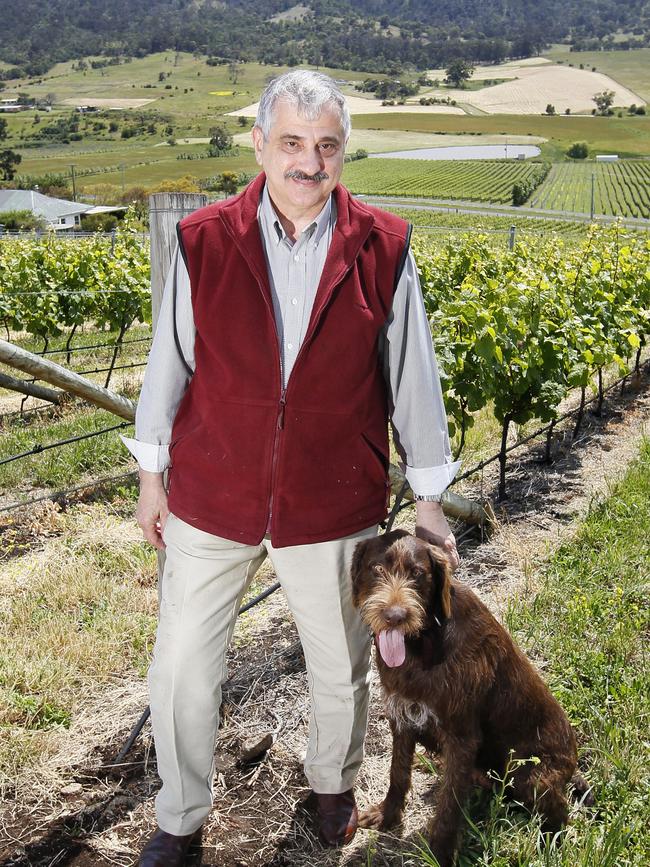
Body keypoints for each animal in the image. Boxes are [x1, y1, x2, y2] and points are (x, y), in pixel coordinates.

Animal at [352, 528, 588, 867]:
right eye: (377, 569)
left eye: (418, 573)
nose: (394, 616)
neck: (425, 641)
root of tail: (573, 764)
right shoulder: (403, 716)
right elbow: (398, 772)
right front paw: (388, 815)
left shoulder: (461, 737)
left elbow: (449, 807)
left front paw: (439, 853)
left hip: (533, 776)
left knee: (559, 814)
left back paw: (548, 843)